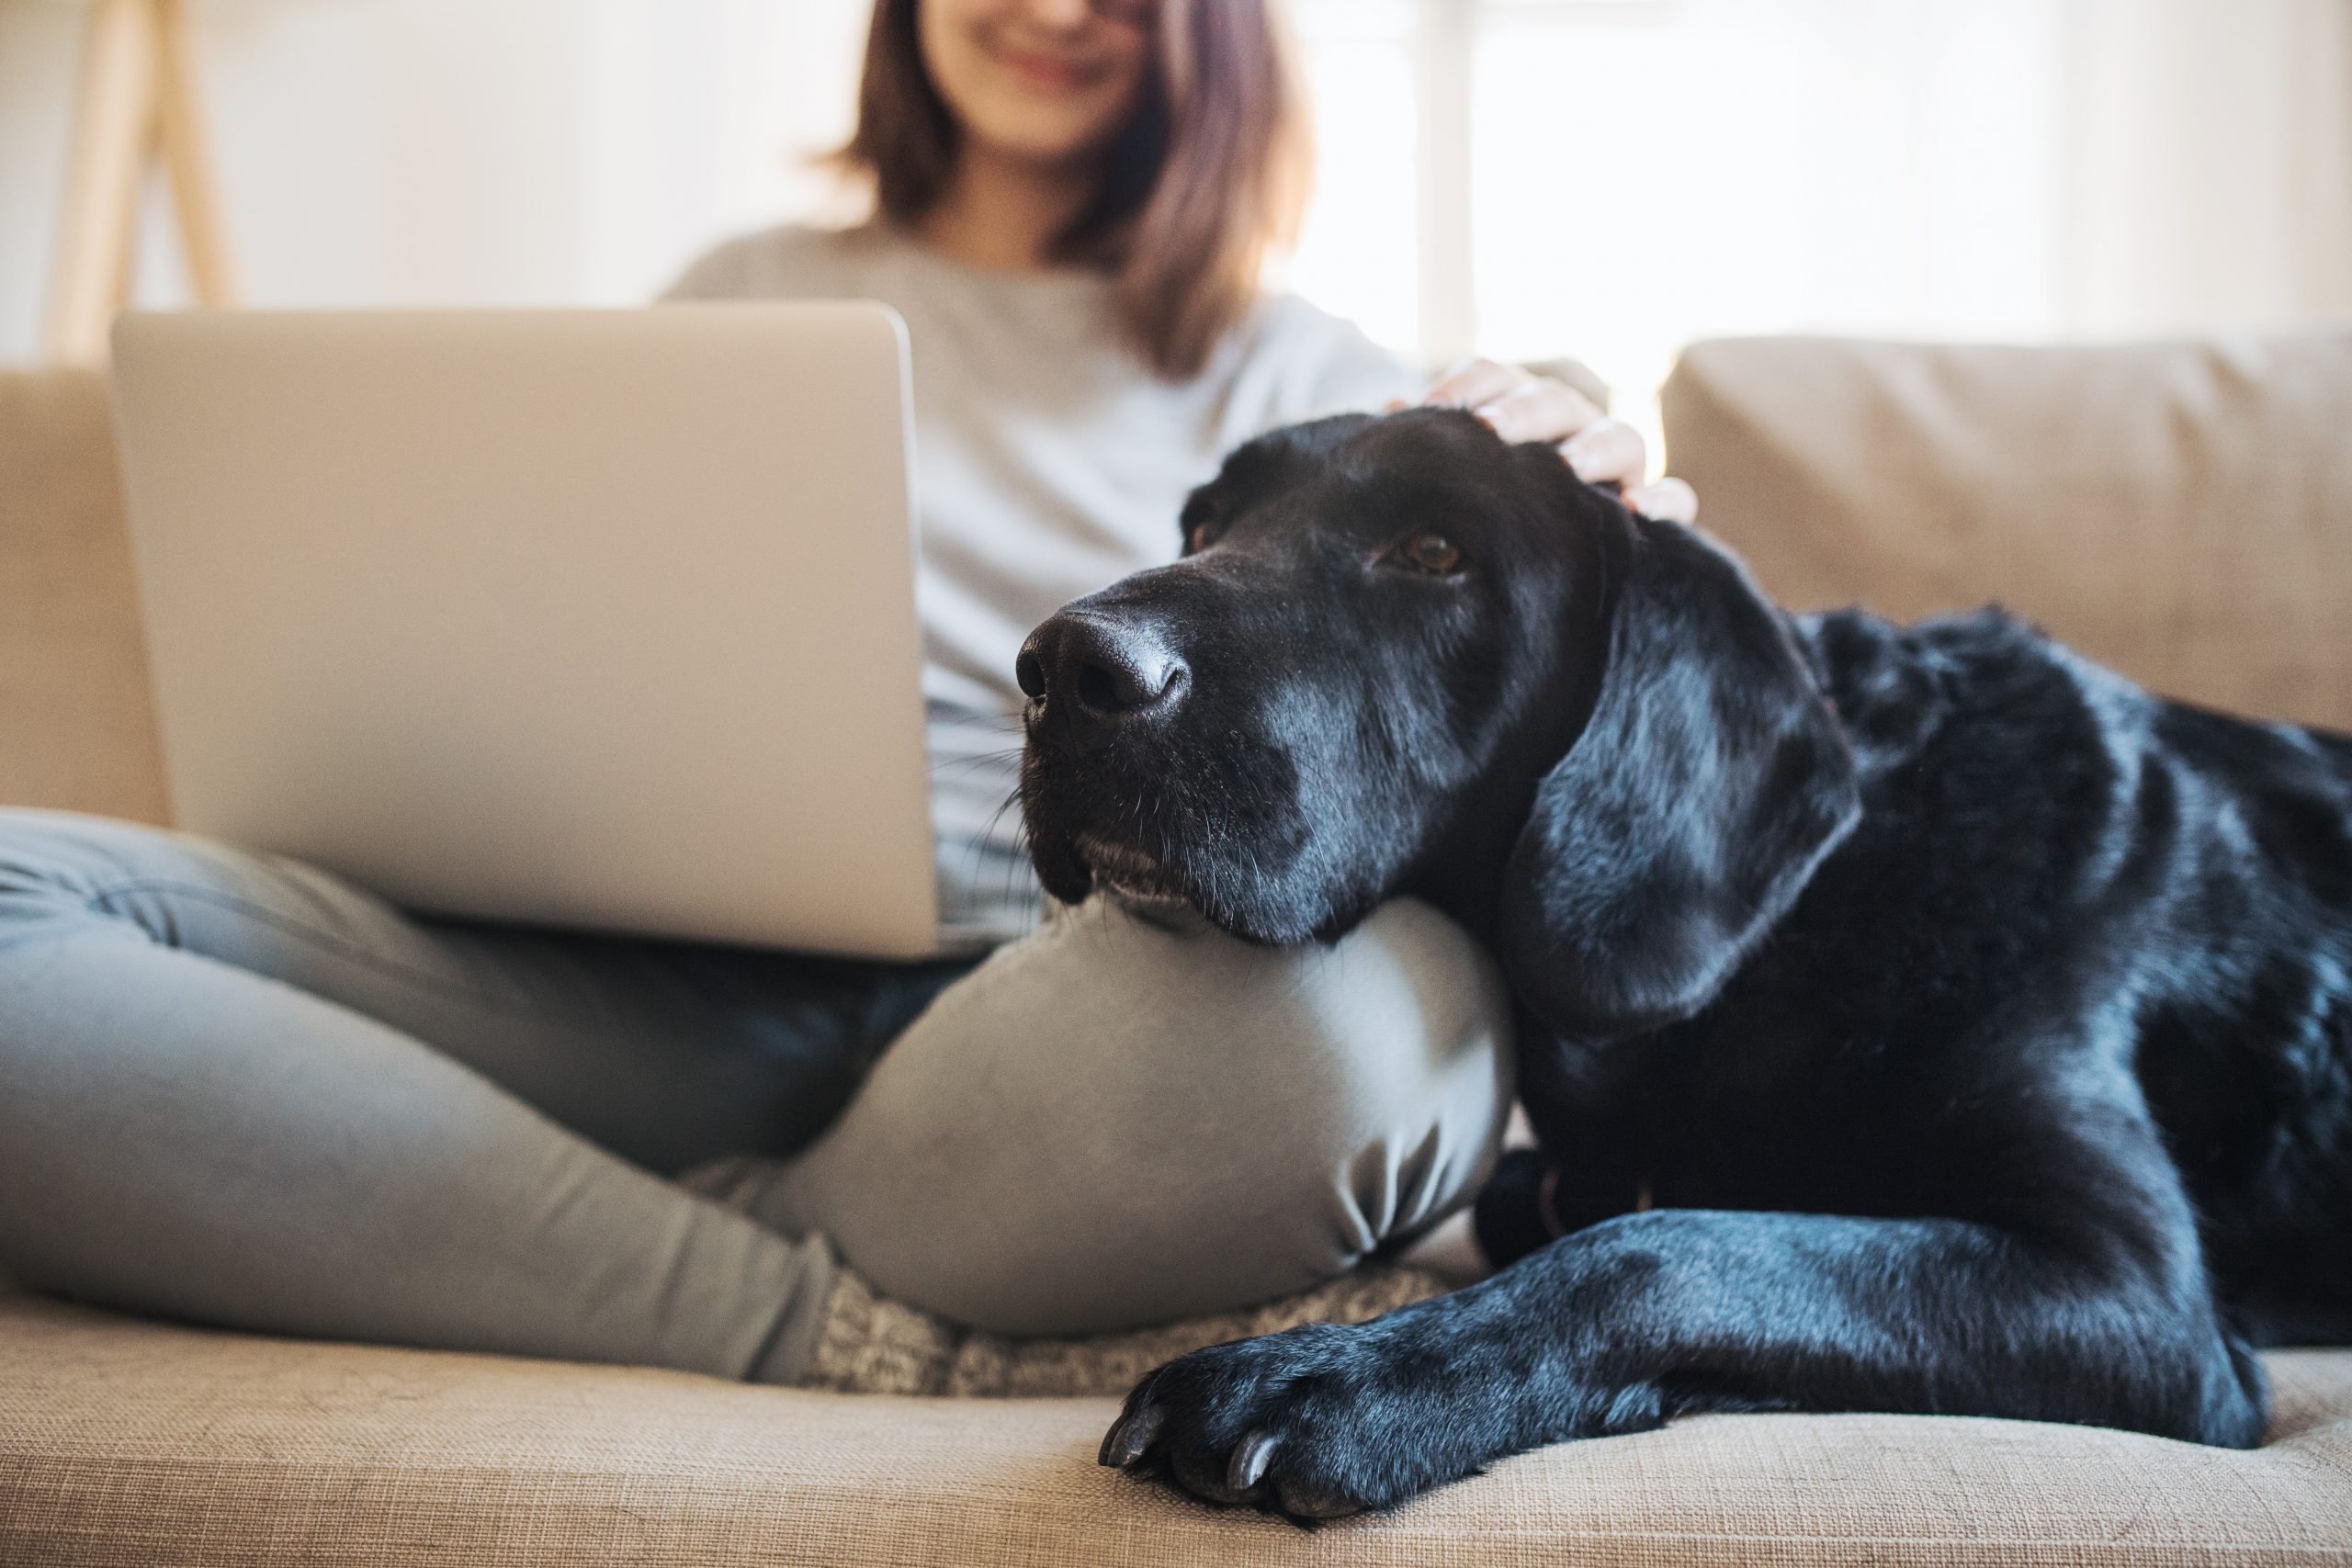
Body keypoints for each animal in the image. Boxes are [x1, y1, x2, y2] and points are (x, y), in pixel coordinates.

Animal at [1011, 401, 2352, 1523]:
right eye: (1204, 522)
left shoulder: (2135, 1292)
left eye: (1436, 552)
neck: (1802, 923)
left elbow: (1664, 1245)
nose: (1064, 668)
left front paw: (1334, 1379)